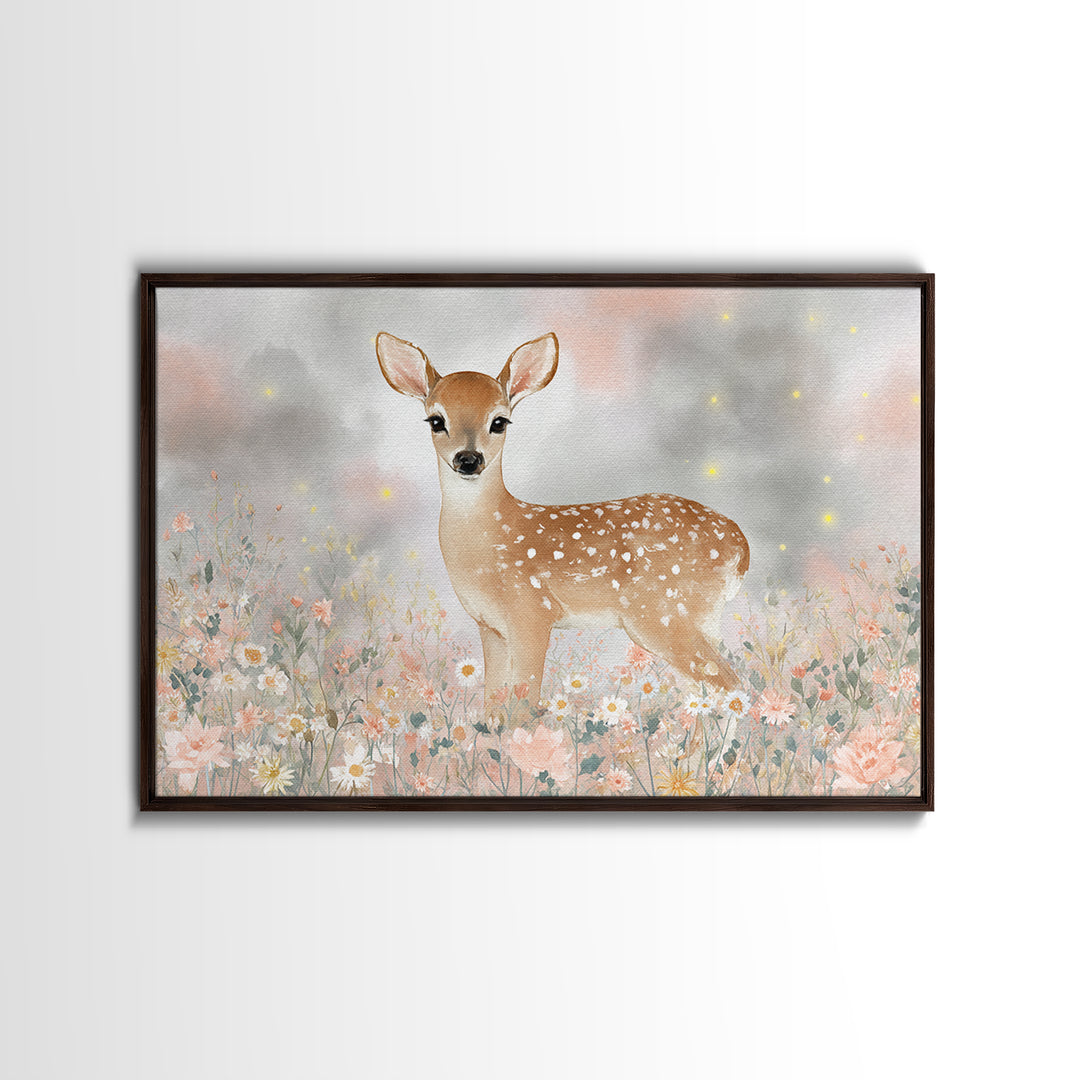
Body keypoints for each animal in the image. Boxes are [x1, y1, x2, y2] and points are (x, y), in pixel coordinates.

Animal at [376, 331, 750, 723]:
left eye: (499, 421)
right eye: (436, 420)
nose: (468, 459)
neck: (490, 538)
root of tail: (741, 547)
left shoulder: (532, 610)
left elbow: (523, 704)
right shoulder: (490, 626)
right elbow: (493, 705)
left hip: (660, 614)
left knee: (729, 684)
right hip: (691, 620)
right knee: (702, 692)